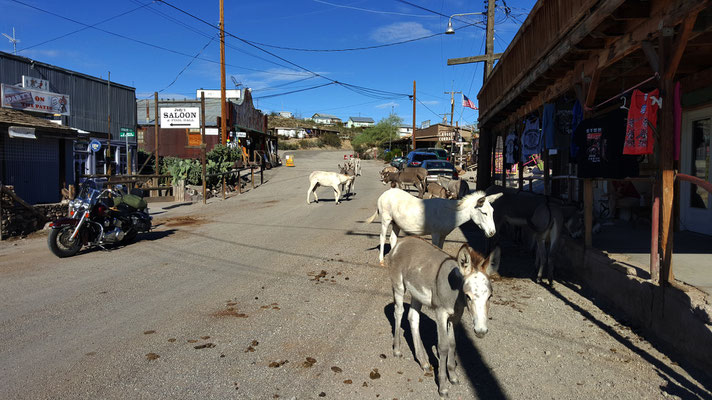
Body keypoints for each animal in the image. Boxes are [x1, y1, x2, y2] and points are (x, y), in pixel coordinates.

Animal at [386, 238, 498, 396]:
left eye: (490, 297)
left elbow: (453, 344)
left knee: (413, 318)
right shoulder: (441, 313)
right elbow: (443, 346)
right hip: (398, 286)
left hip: (416, 294)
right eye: (468, 296)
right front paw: (443, 386)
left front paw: (453, 376)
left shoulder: (455, 316)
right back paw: (397, 350)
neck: (455, 289)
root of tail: (403, 241)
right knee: (399, 312)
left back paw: (424, 362)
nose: (480, 331)